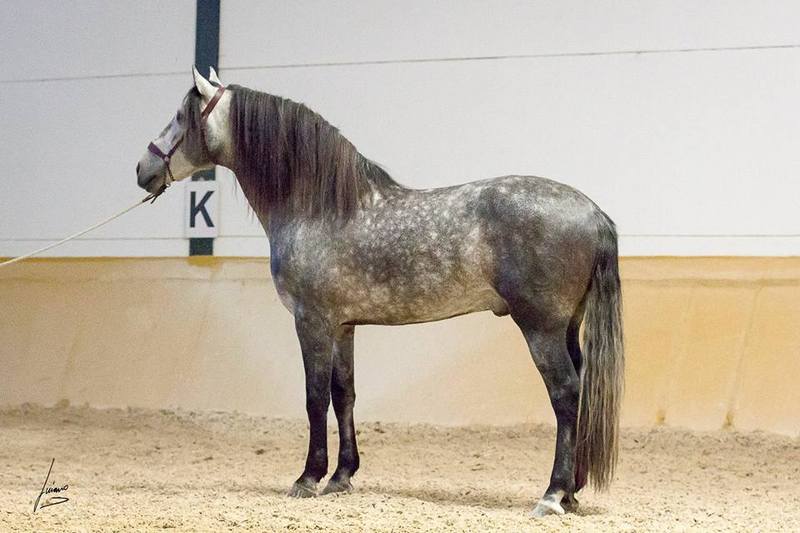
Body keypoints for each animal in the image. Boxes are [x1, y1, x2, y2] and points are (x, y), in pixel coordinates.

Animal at [136, 67, 624, 517]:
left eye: (179, 116)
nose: (142, 169)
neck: (319, 208)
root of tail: (593, 213)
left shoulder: (311, 321)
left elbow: (314, 397)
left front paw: (308, 478)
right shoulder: (344, 325)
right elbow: (343, 394)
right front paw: (341, 476)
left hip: (541, 328)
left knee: (565, 393)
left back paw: (553, 495)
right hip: (567, 327)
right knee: (579, 391)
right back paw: (572, 492)